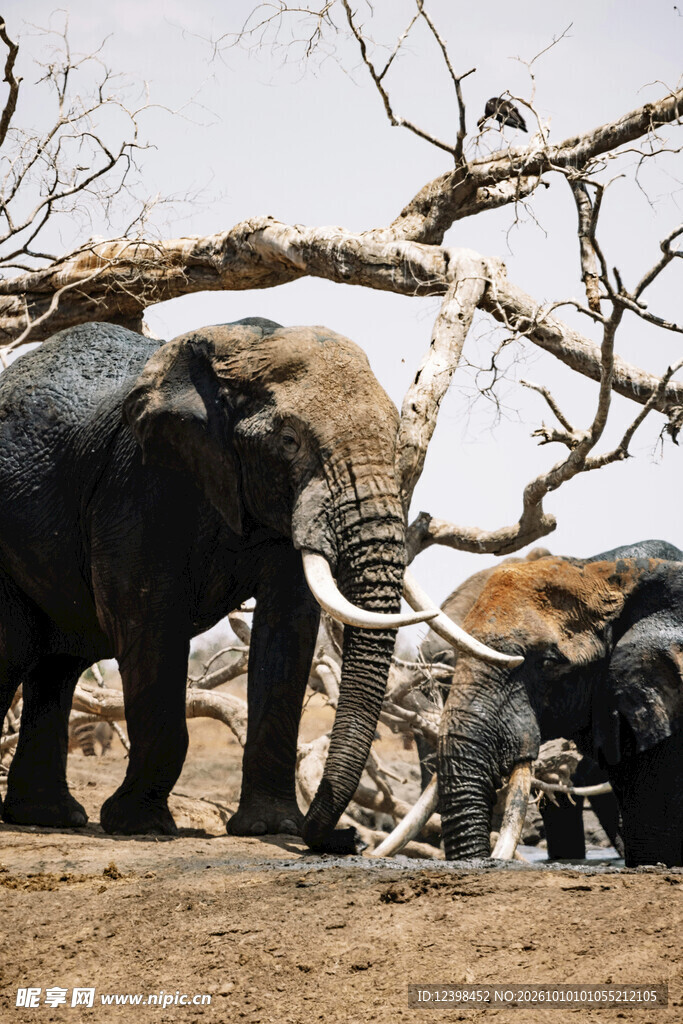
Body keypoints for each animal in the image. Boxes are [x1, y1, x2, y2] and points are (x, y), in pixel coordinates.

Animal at [0, 318, 502, 853]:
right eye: (289, 441)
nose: (348, 837)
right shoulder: (136, 481)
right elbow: (147, 620)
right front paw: (139, 825)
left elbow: (288, 630)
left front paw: (270, 827)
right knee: (14, 654)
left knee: (58, 664)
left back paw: (48, 816)